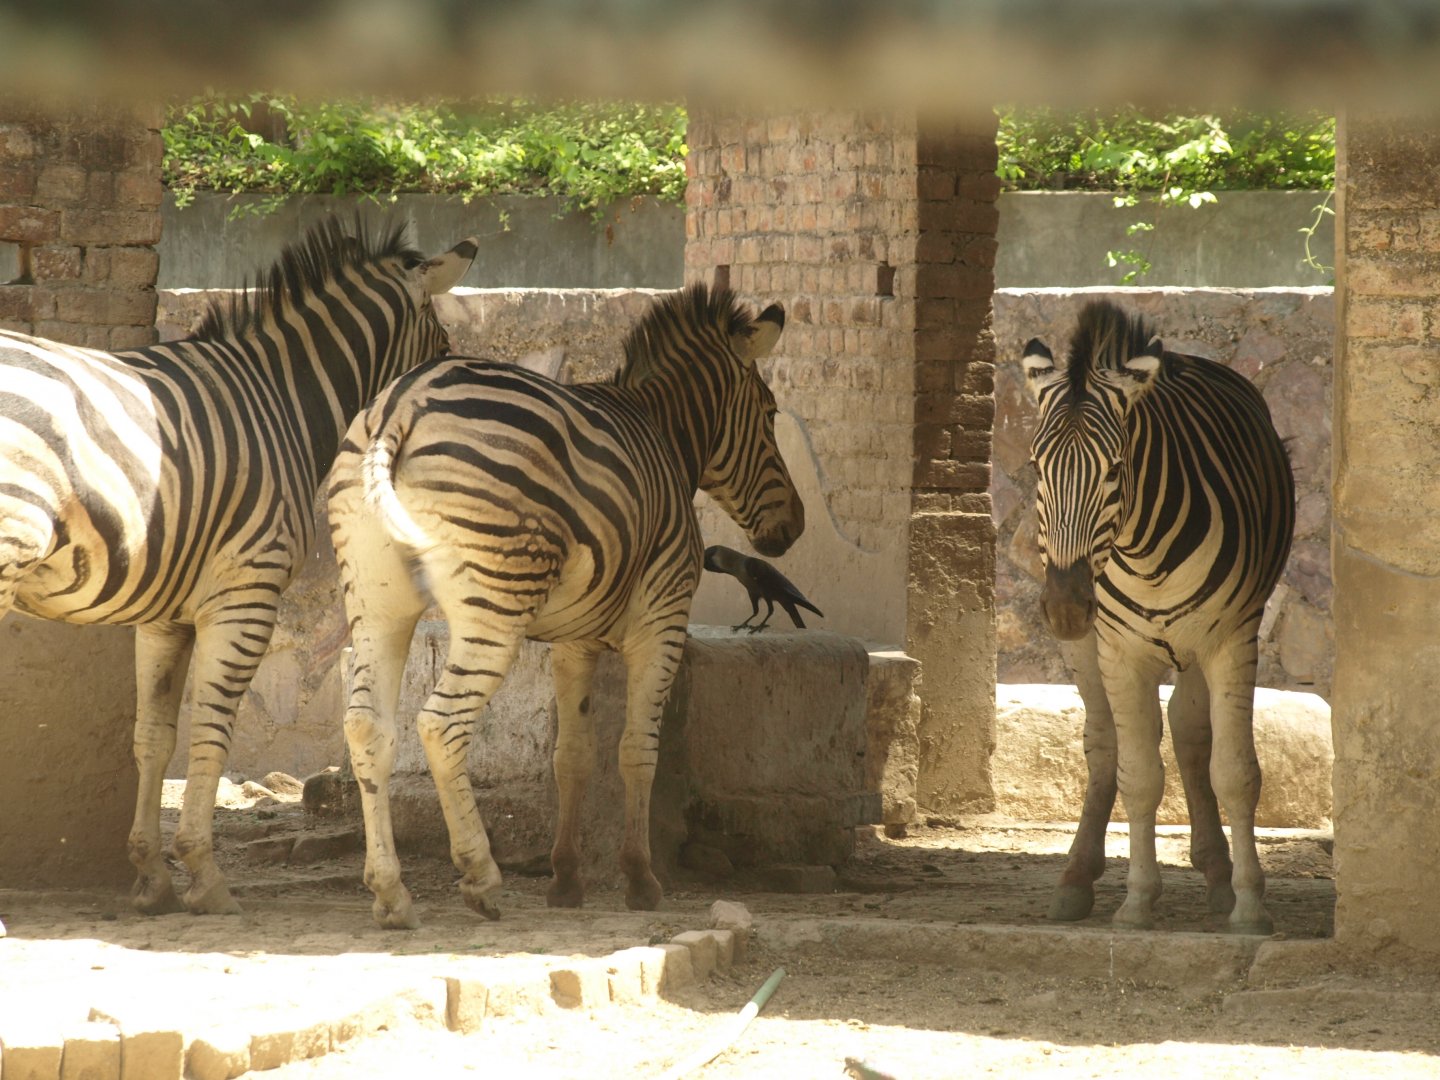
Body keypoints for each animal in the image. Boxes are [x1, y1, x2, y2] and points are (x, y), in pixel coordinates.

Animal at [0, 218, 477, 916]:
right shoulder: (247, 592)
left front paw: (153, 876)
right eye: (440, 342)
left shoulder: (167, 613)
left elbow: (154, 735)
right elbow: (212, 731)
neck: (283, 398)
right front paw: (205, 874)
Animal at [326, 283, 805, 929]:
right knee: (440, 724)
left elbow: (571, 756)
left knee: (367, 727)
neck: (665, 433)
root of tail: (400, 406)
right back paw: (481, 878)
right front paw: (640, 879)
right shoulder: (663, 619)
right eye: (771, 412)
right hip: (495, 603)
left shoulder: (575, 638)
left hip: (377, 604)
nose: (795, 527)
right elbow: (637, 750)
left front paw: (567, 878)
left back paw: (390, 892)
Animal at [1021, 299, 1294, 934]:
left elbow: (1235, 771)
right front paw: (1138, 902)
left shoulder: (1232, 639)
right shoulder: (1120, 650)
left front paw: (1250, 905)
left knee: (1192, 731)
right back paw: (1075, 878)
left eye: (1114, 469)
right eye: (1037, 468)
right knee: (1103, 744)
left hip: (1197, 643)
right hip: (1088, 645)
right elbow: (1139, 776)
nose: (1066, 608)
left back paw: (1217, 871)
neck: (1146, 554)